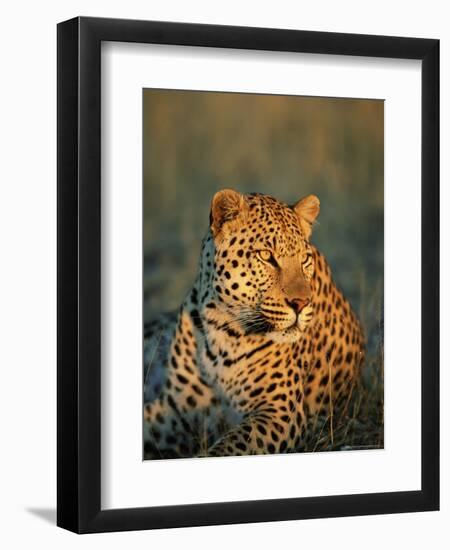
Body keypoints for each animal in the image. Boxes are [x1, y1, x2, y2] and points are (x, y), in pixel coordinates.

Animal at [144, 192, 366, 460]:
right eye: (266, 256)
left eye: (305, 259)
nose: (301, 303)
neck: (223, 326)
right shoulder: (176, 407)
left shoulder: (280, 411)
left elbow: (230, 446)